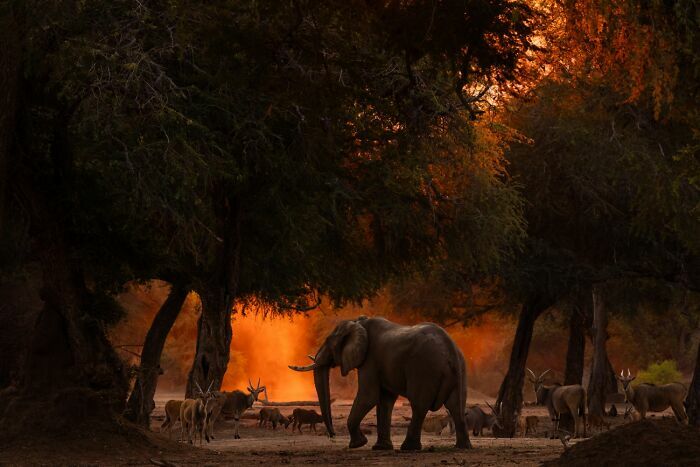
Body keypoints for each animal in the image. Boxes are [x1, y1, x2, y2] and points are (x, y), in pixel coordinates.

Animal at [289, 316, 471, 451]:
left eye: (328, 341)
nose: (332, 435)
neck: (357, 322)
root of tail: (450, 349)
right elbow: (384, 400)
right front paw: (380, 448)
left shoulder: (370, 360)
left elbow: (368, 397)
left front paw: (358, 444)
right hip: (460, 370)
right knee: (456, 406)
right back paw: (462, 447)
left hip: (424, 368)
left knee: (419, 406)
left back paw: (408, 448)